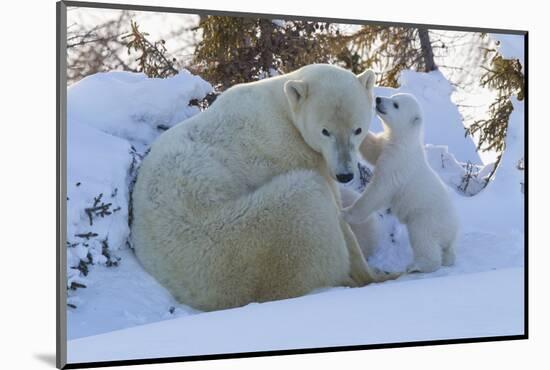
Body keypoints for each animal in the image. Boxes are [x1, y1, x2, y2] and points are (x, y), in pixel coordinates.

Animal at [132, 65, 394, 310]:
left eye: (357, 129)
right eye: (325, 131)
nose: (345, 174)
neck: (283, 107)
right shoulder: (292, 152)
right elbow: (338, 212)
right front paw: (372, 272)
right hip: (245, 235)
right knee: (309, 202)